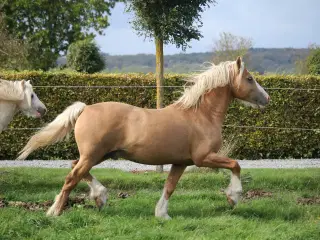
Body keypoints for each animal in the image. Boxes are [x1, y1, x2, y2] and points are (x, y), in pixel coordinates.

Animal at [18, 57, 270, 218]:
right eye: (249, 78)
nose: (266, 99)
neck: (200, 115)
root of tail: (86, 108)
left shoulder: (181, 162)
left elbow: (169, 186)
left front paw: (162, 215)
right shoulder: (203, 158)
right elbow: (235, 165)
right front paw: (233, 197)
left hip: (99, 155)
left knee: (74, 167)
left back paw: (100, 197)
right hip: (93, 155)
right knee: (71, 178)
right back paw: (55, 212)